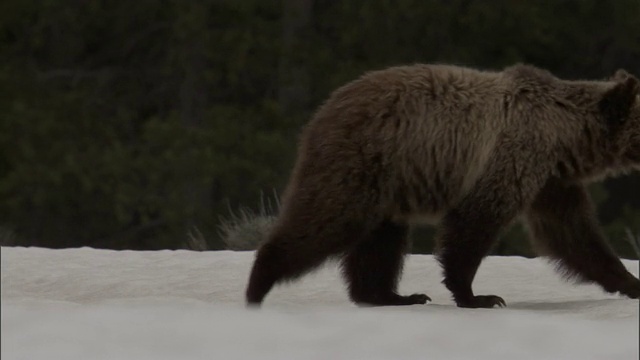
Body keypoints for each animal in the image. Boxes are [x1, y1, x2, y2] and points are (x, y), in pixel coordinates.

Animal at [245, 63, 640, 308]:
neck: (566, 138)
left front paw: (630, 282)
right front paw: (477, 296)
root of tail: (323, 110)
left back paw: (392, 295)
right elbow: (474, 224)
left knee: (381, 240)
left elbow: (573, 234)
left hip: (389, 183)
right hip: (361, 162)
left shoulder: (550, 180)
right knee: (327, 219)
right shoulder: (511, 157)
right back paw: (257, 286)